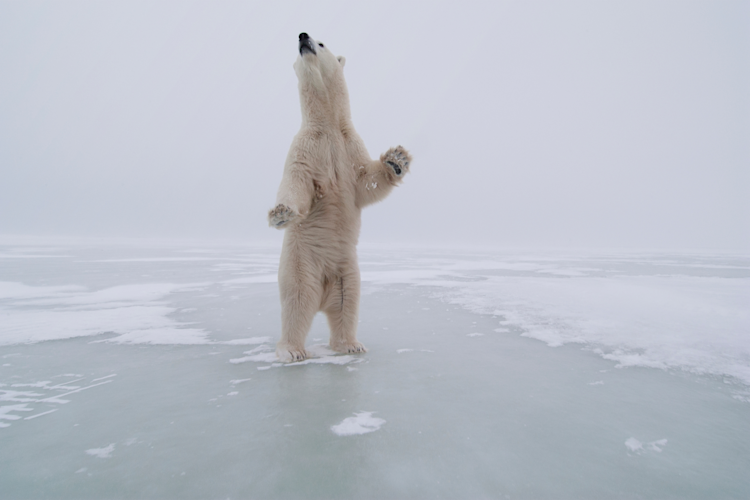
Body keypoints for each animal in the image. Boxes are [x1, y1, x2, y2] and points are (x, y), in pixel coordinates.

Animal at [268, 32, 411, 362]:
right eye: (302, 45)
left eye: (321, 43)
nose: (302, 36)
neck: (329, 128)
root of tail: (323, 293)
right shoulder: (305, 148)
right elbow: (296, 183)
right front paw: (280, 213)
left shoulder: (350, 148)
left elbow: (367, 182)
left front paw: (396, 159)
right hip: (300, 262)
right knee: (297, 302)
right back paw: (292, 350)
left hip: (347, 269)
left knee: (348, 302)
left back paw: (350, 344)